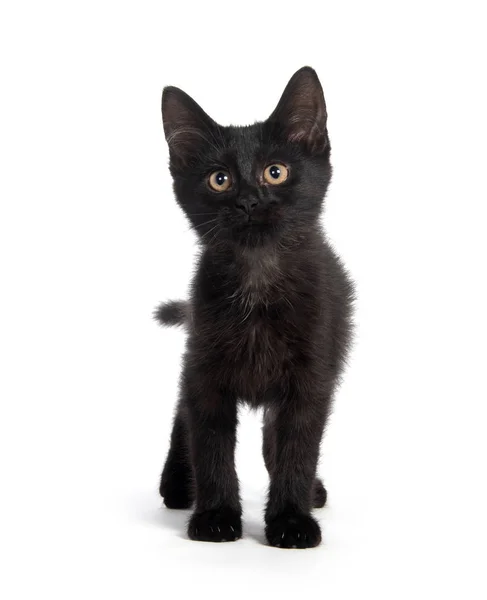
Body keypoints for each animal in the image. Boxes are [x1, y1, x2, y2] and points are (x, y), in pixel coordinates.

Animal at [156, 67, 354, 548]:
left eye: (275, 172)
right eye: (219, 179)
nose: (249, 201)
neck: (257, 277)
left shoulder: (310, 378)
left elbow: (297, 447)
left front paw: (291, 520)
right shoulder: (205, 371)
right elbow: (209, 443)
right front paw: (215, 516)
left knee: (273, 435)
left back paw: (310, 492)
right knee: (182, 414)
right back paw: (177, 484)